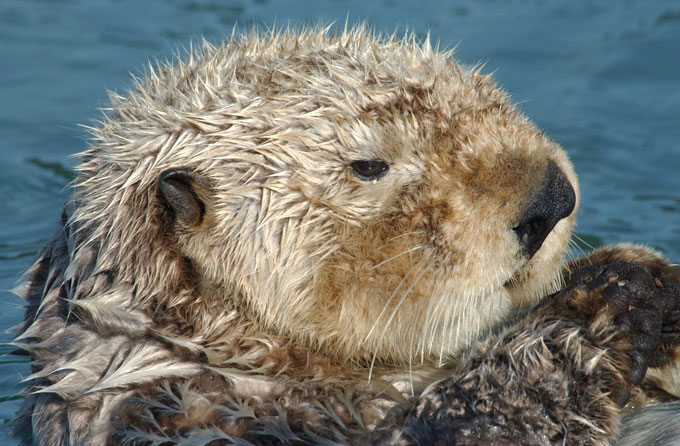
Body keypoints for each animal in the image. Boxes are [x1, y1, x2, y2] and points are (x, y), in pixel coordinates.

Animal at [9, 27, 680, 446]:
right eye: (369, 165)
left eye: (491, 98)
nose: (552, 199)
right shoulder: (183, 415)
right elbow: (469, 422)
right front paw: (612, 291)